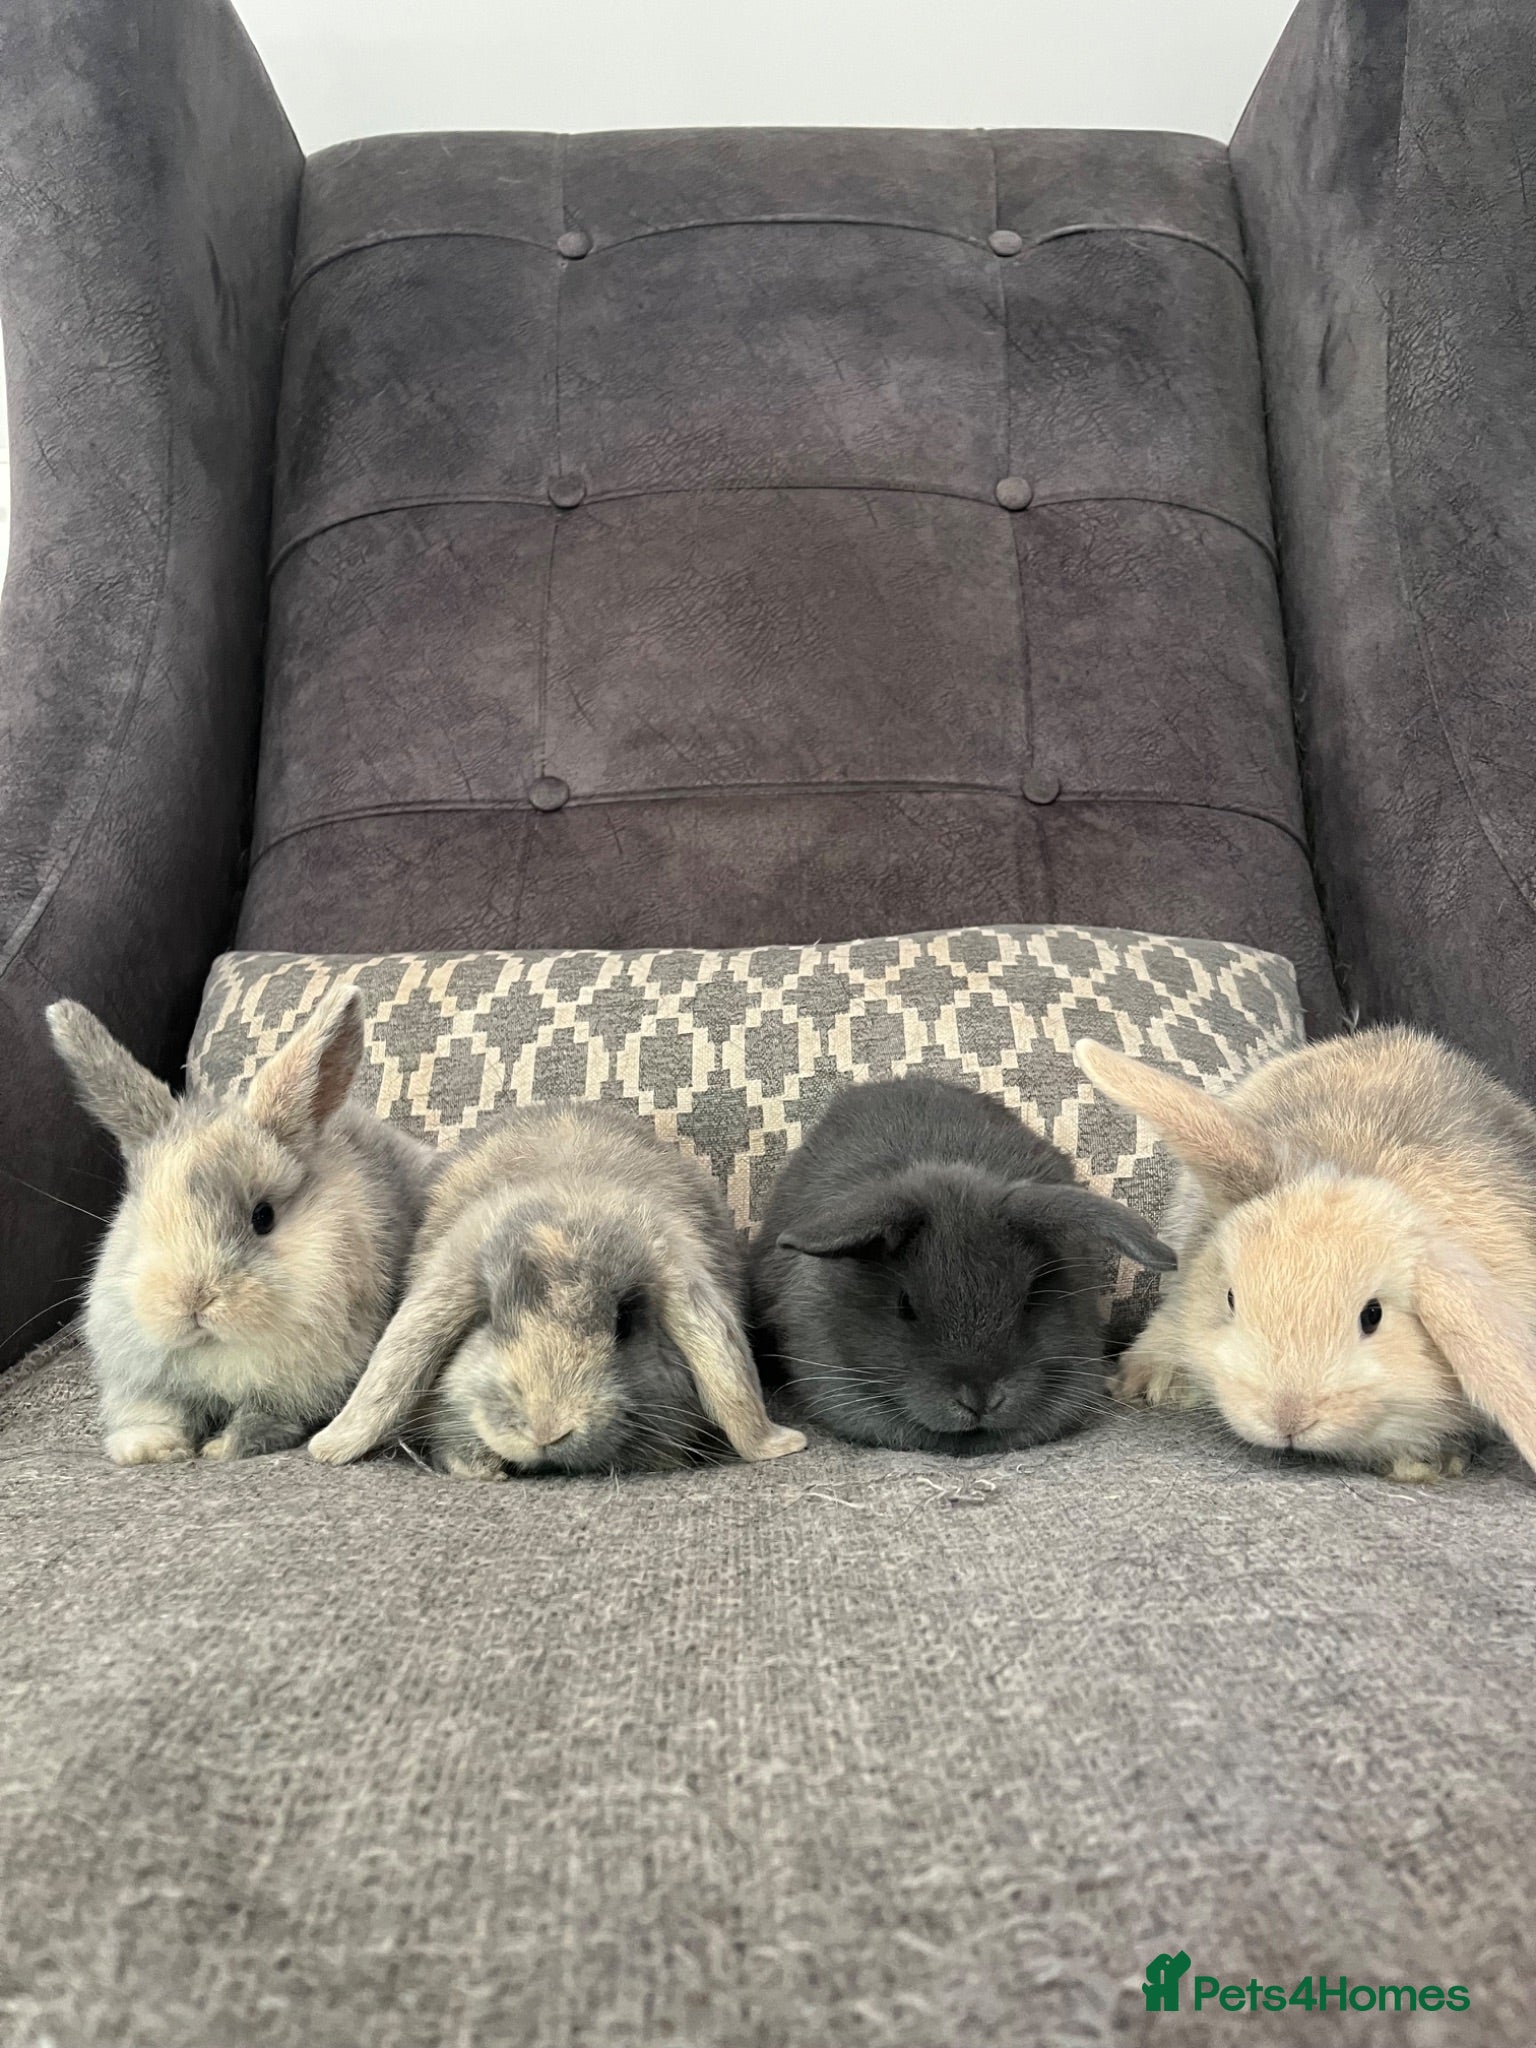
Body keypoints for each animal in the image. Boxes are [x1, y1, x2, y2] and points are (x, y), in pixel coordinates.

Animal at [46, 986, 436, 1465]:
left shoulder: (293, 1392)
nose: (192, 1301)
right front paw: (149, 1450)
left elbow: (260, 1419)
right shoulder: (141, 1380)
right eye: (143, 1214)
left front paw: (219, 1448)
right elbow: (152, 1411)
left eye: (263, 1217)